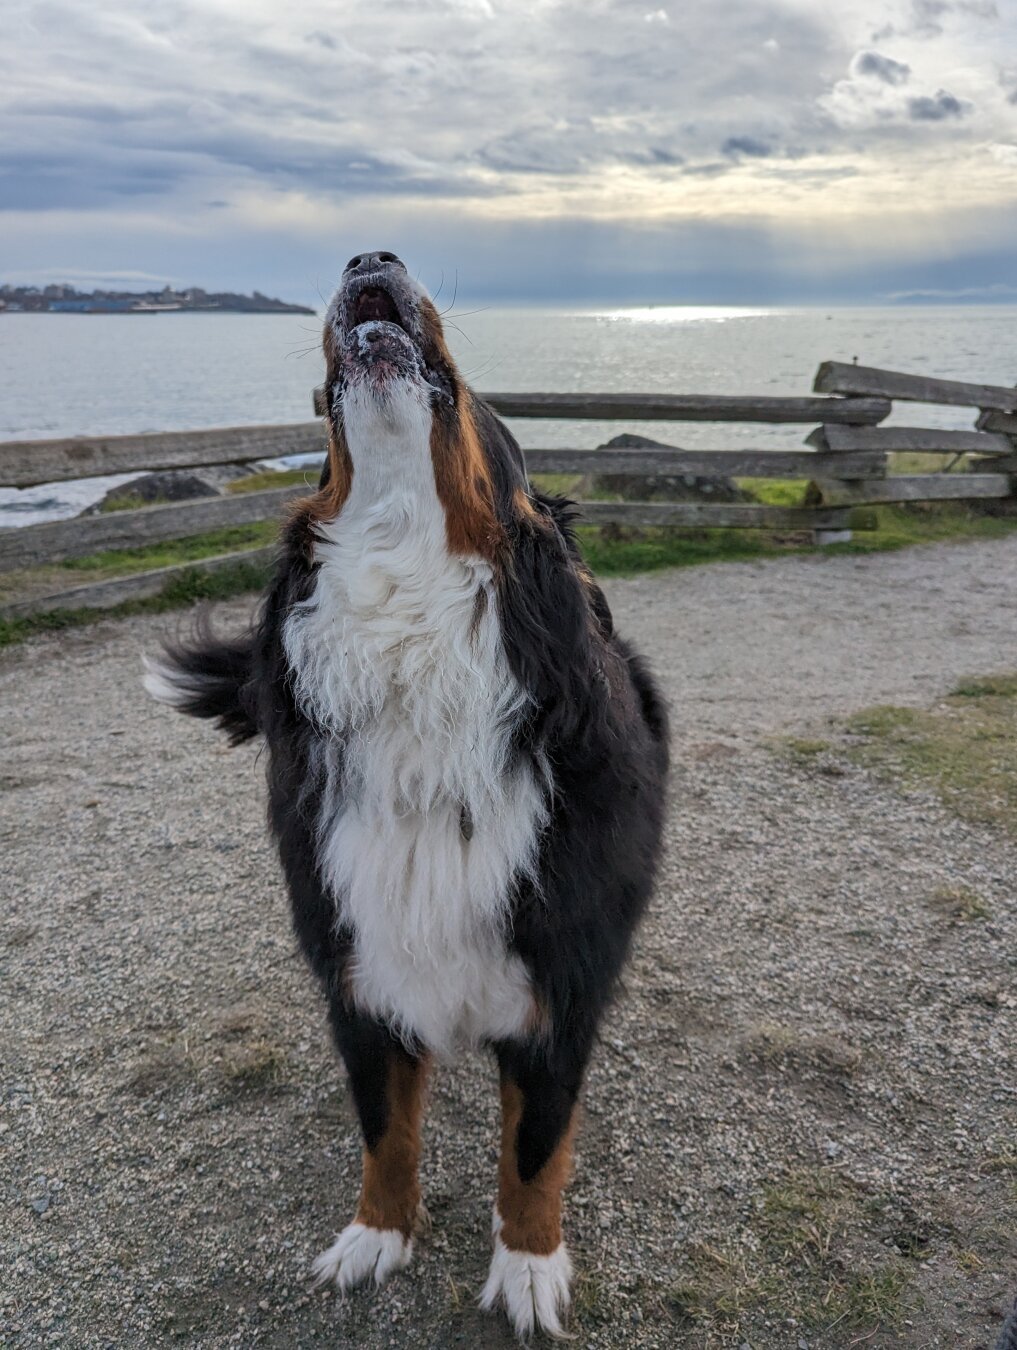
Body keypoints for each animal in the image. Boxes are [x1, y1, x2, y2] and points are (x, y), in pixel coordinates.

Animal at [143, 251, 667, 1339]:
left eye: (478, 402)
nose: (370, 258)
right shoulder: (358, 964)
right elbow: (385, 1126)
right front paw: (376, 1237)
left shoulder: (558, 985)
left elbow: (534, 1150)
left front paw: (527, 1268)